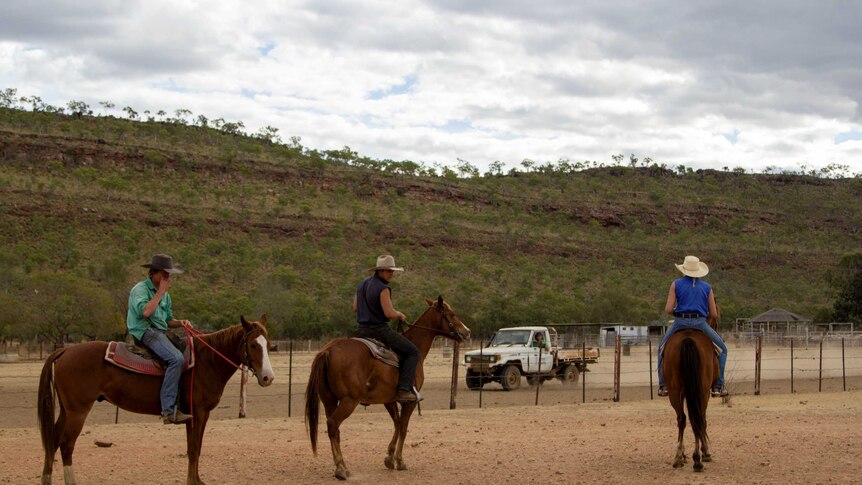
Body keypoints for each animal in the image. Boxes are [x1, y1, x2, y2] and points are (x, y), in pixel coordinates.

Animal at [36, 314, 274, 484]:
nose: (268, 377)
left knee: (52, 440)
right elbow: (193, 449)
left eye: (268, 343)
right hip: (78, 411)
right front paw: (192, 481)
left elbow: (197, 447)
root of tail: (64, 351)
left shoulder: (201, 414)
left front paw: (198, 480)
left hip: (67, 410)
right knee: (66, 445)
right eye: (253, 345)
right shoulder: (196, 413)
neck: (206, 361)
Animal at [308, 296, 472, 478]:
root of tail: (328, 350)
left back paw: (341, 466)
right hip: (348, 401)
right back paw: (341, 468)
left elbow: (397, 424)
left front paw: (389, 457)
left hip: (329, 400)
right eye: (452, 313)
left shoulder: (389, 400)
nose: (467, 332)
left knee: (334, 430)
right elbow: (404, 428)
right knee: (333, 424)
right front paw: (399, 461)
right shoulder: (410, 401)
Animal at [664, 328, 720, 470]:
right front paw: (705, 452)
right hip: (702, 391)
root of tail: (688, 339)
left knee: (682, 419)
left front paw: (684, 455)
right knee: (697, 419)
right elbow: (703, 421)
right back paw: (696, 459)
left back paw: (680, 458)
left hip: (675, 390)